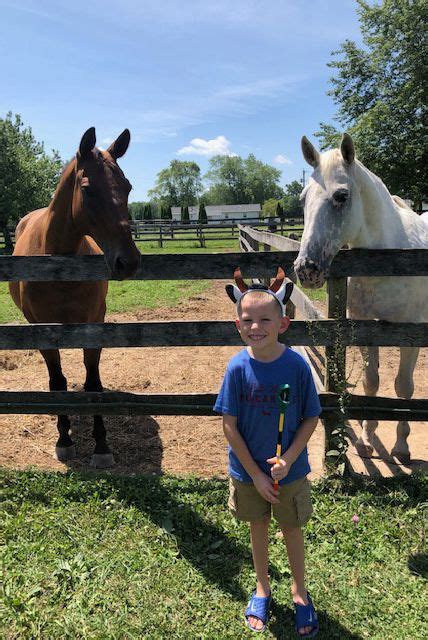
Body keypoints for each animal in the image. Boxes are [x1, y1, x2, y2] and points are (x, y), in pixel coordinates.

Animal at [9, 127, 140, 468]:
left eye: (127, 187)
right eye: (88, 190)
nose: (128, 261)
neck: (59, 264)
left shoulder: (93, 325)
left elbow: (93, 385)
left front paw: (101, 446)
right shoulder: (43, 331)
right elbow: (57, 383)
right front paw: (64, 440)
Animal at [294, 135, 428, 462]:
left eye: (342, 196)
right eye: (303, 200)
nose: (306, 269)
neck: (391, 259)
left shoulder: (411, 334)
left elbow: (404, 387)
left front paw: (401, 447)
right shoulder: (366, 328)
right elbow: (372, 382)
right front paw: (367, 440)